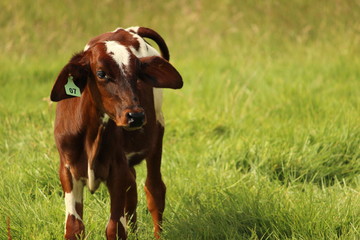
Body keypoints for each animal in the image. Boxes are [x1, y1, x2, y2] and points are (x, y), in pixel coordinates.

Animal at [50, 26, 183, 240]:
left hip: (157, 135)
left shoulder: (117, 171)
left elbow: (115, 229)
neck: (91, 136)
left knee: (154, 189)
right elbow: (74, 227)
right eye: (101, 73)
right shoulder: (67, 169)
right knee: (133, 190)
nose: (136, 116)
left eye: (137, 73)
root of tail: (129, 29)